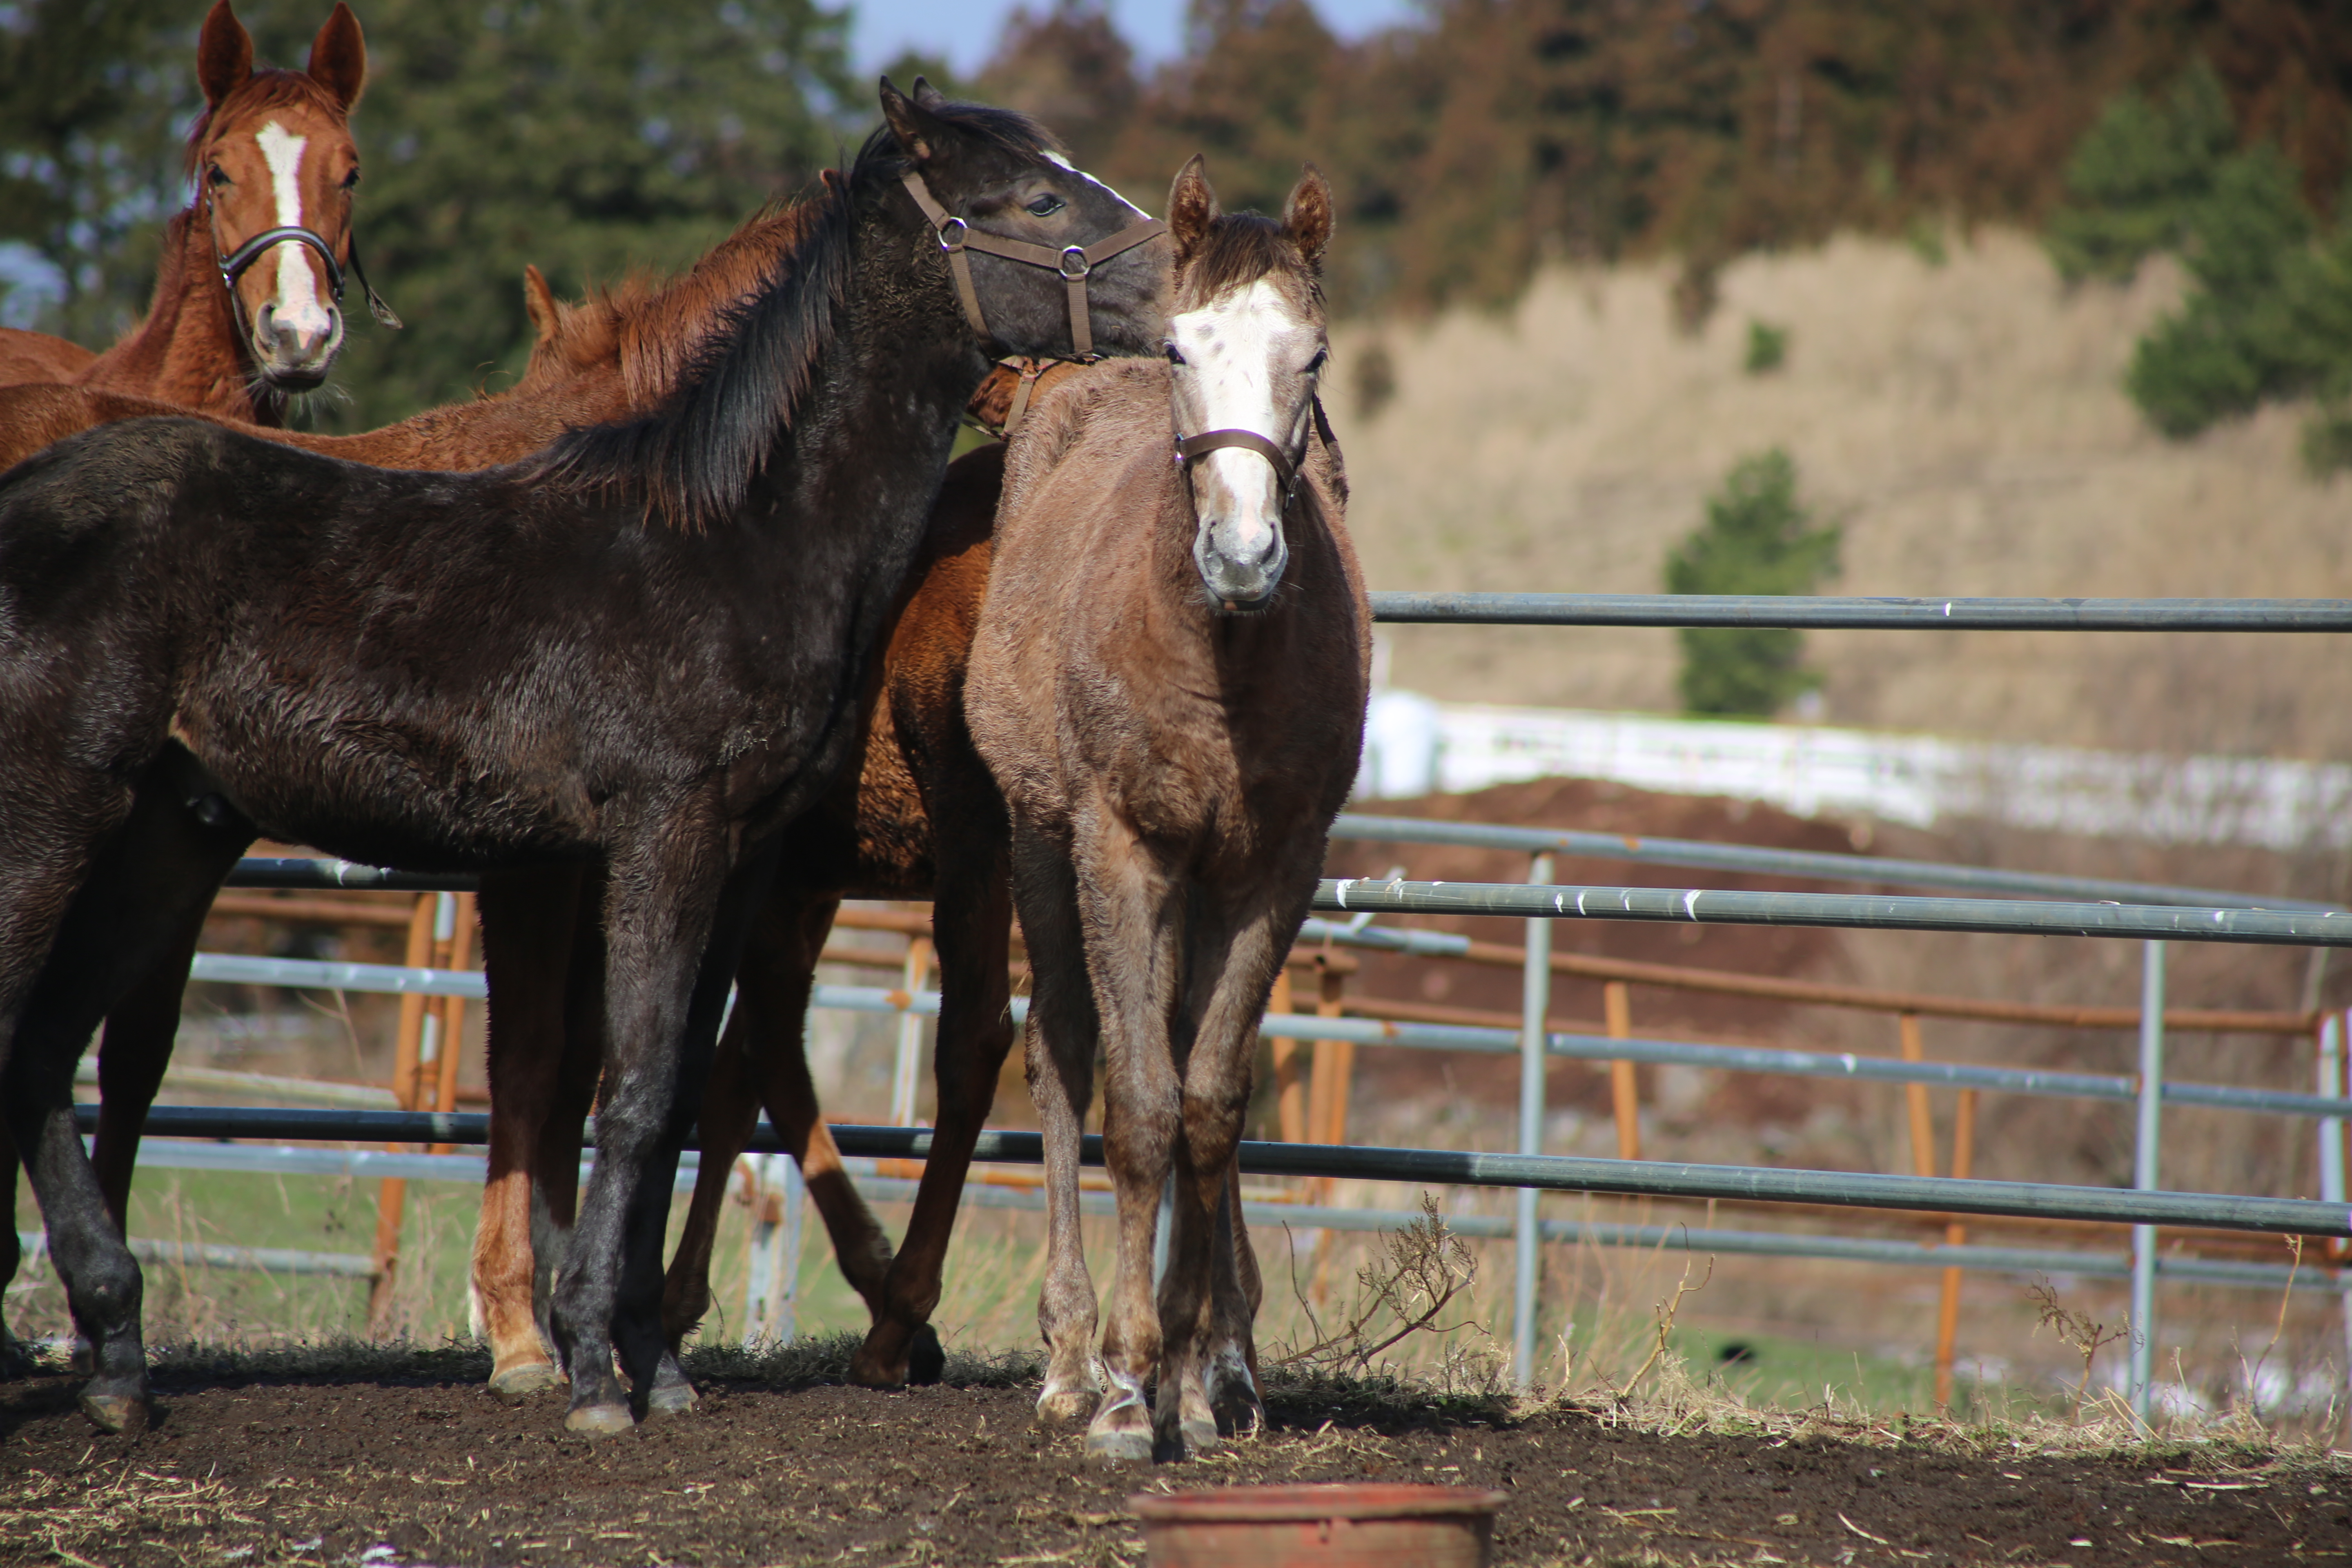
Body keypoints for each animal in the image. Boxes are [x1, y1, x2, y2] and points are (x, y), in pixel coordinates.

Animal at [0, 82, 1166, 1439]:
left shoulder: (744, 859)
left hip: (166, 840)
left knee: (47, 1050)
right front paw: (598, 1371)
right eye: (1033, 197)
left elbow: (677, 1085)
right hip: (56, 817)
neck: (734, 536)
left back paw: (117, 1357)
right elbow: (635, 1084)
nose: (1184, 295)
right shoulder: (663, 835)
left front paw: (653, 1359)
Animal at [964, 160, 1373, 1457]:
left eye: (1313, 354)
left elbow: (1212, 1101)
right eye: (1185, 348)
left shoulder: (1272, 867)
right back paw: (1068, 1358)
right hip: (1042, 848)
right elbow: (1138, 1103)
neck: (1219, 652)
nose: (1242, 555)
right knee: (1061, 1050)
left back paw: (1214, 1365)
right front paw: (1126, 1381)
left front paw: (1196, 1373)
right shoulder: (1120, 849)